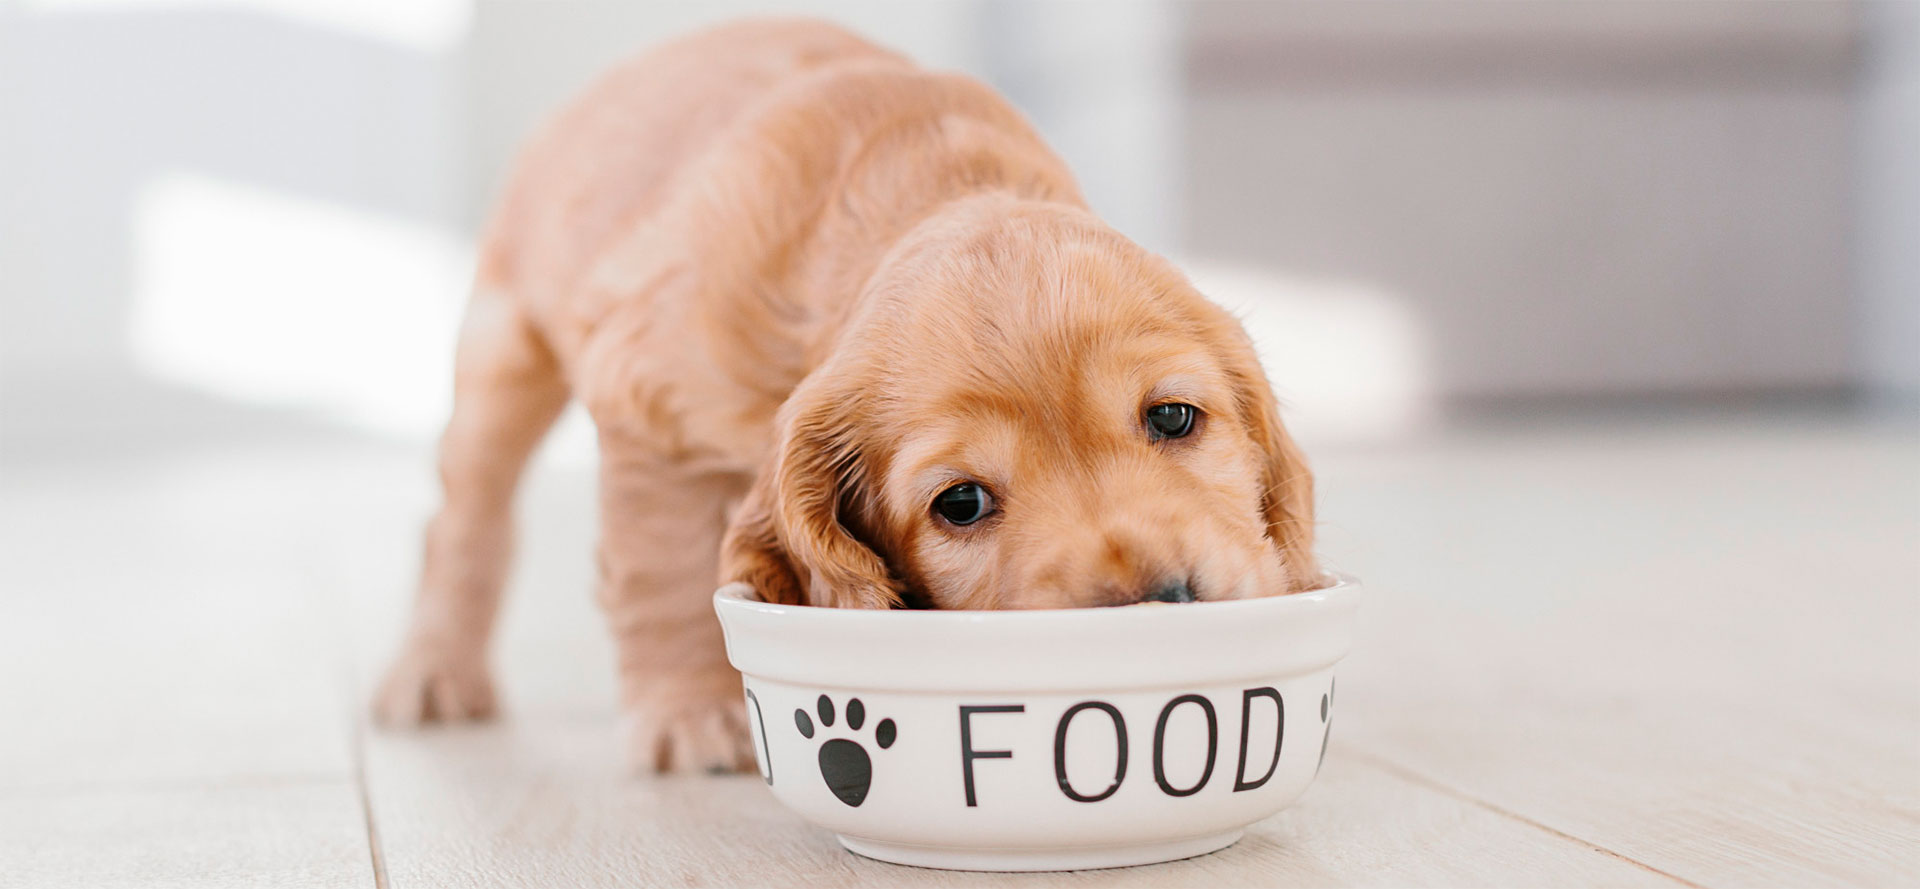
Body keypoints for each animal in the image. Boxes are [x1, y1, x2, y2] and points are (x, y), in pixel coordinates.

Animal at [382, 17, 1328, 775]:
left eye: (1172, 416)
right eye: (961, 502)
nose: (1161, 599)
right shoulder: (650, 405)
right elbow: (663, 567)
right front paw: (690, 713)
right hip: (503, 351)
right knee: (463, 519)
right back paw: (434, 671)